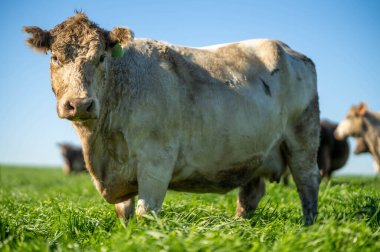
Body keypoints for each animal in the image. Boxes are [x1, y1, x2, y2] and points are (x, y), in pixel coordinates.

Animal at [23, 12, 320, 224]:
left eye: (101, 57)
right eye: (56, 58)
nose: (80, 104)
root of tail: (288, 49)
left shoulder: (156, 161)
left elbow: (146, 213)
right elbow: (125, 214)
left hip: (302, 138)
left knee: (307, 181)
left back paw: (309, 226)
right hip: (253, 153)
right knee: (250, 194)